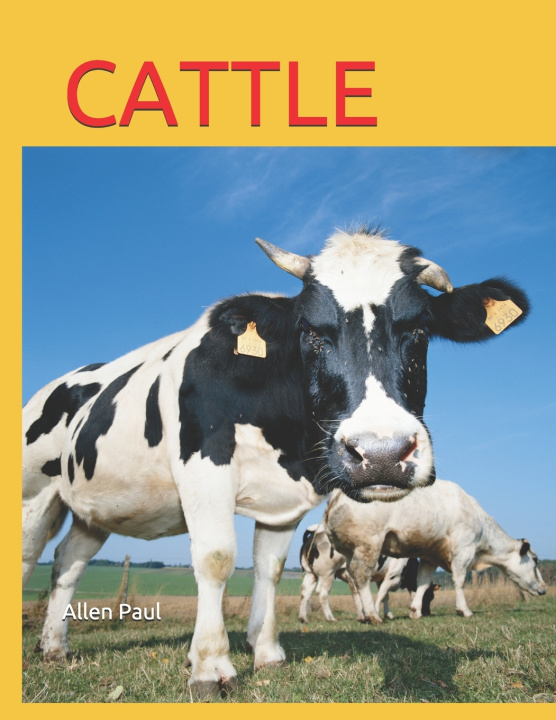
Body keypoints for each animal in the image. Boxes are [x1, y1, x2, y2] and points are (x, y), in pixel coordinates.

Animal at [298, 525, 437, 622]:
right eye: (429, 596)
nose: (428, 613)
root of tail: (315, 533)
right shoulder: (392, 576)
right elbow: (381, 595)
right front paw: (376, 612)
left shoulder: (381, 578)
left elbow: (386, 597)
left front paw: (388, 614)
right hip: (328, 574)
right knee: (322, 593)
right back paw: (330, 618)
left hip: (310, 573)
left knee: (305, 592)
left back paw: (303, 618)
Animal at [324, 479, 547, 622]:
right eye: (535, 560)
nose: (544, 589)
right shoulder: (463, 550)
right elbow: (459, 581)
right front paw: (464, 610)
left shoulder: (430, 557)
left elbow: (422, 583)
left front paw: (415, 611)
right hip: (369, 544)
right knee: (361, 576)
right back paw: (372, 615)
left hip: (350, 551)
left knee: (353, 579)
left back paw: (364, 615)